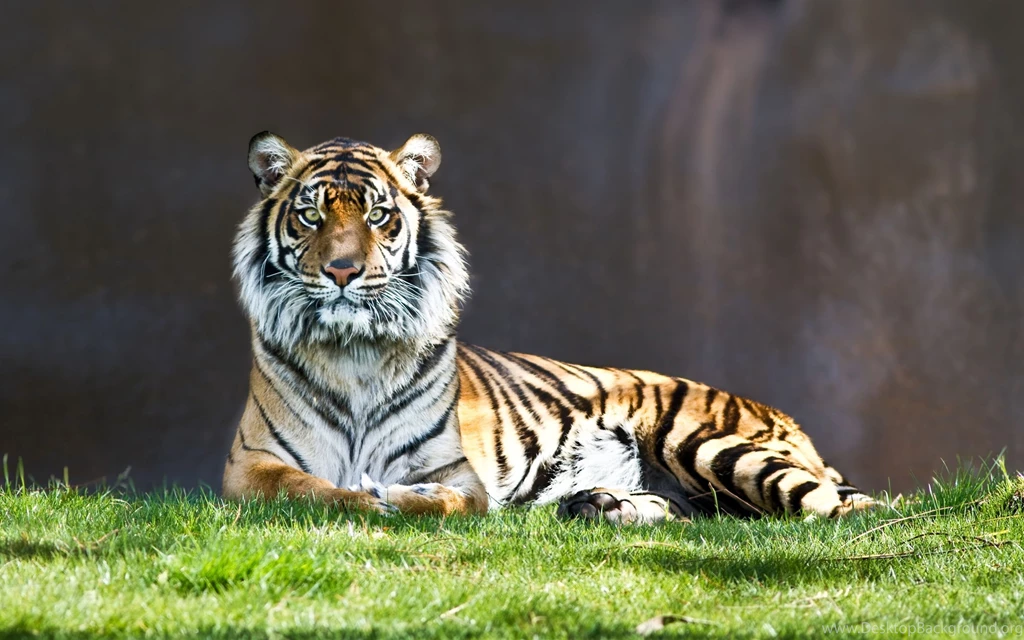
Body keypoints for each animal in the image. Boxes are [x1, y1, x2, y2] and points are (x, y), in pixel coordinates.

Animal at [222, 131, 875, 524]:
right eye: (310, 215)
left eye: (379, 215)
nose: (342, 270)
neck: (354, 353)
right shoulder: (249, 468)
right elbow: (313, 490)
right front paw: (367, 497)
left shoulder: (458, 472)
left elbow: (446, 502)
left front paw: (397, 497)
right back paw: (599, 504)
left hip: (711, 444)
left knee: (841, 509)